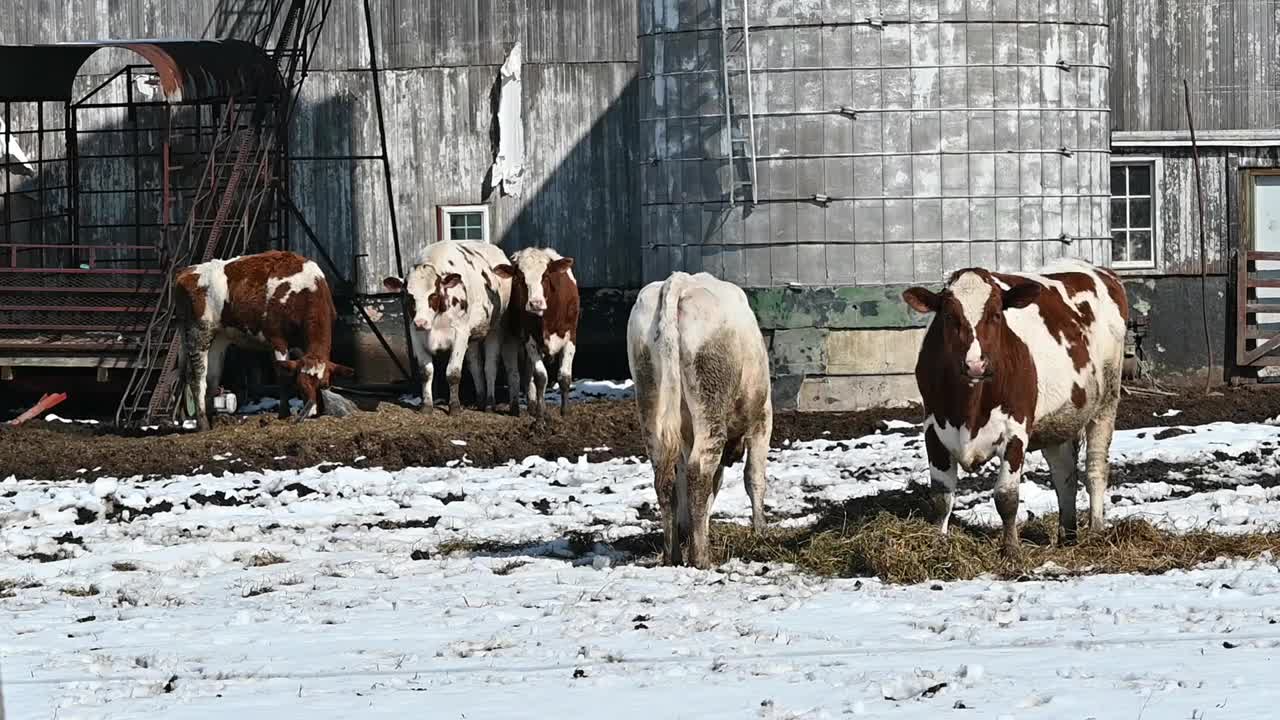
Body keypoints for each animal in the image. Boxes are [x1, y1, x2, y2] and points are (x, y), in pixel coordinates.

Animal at [175, 249, 353, 427]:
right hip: (198, 332)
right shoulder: (278, 339)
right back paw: (203, 423)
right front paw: (284, 414)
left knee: (211, 377)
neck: (304, 290)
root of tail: (185, 273)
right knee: (197, 378)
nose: (311, 412)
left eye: (325, 384)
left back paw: (214, 421)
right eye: (301, 386)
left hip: (218, 337)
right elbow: (282, 377)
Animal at [378, 238, 519, 412]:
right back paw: (479, 399)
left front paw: (455, 407)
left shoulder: (460, 333)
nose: (421, 322)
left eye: (433, 295)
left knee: (490, 367)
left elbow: (453, 373)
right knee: (476, 366)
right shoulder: (416, 335)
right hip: (472, 335)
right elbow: (426, 372)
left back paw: (489, 403)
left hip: (495, 329)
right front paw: (427, 406)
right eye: (409, 296)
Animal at [488, 244, 581, 415]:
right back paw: (522, 407)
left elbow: (564, 377)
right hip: (511, 338)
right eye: (519, 278)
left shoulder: (571, 335)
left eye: (545, 276)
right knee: (518, 373)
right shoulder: (530, 339)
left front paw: (565, 411)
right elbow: (540, 377)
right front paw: (541, 411)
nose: (535, 303)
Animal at [627, 269, 773, 566]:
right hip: (710, 401)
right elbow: (754, 477)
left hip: (649, 397)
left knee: (665, 478)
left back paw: (673, 554)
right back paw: (701, 558)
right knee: (699, 471)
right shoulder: (762, 419)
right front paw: (761, 531)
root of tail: (679, 283)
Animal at [901, 257, 1131, 556]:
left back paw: (1096, 530)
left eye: (996, 315)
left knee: (1095, 469)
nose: (976, 364)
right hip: (1058, 419)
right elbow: (941, 497)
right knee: (1065, 476)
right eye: (950, 317)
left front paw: (1010, 548)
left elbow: (1006, 497)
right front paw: (938, 545)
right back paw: (1067, 536)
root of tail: (1095, 269)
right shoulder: (933, 428)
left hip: (1106, 401)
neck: (969, 408)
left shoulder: (1015, 430)